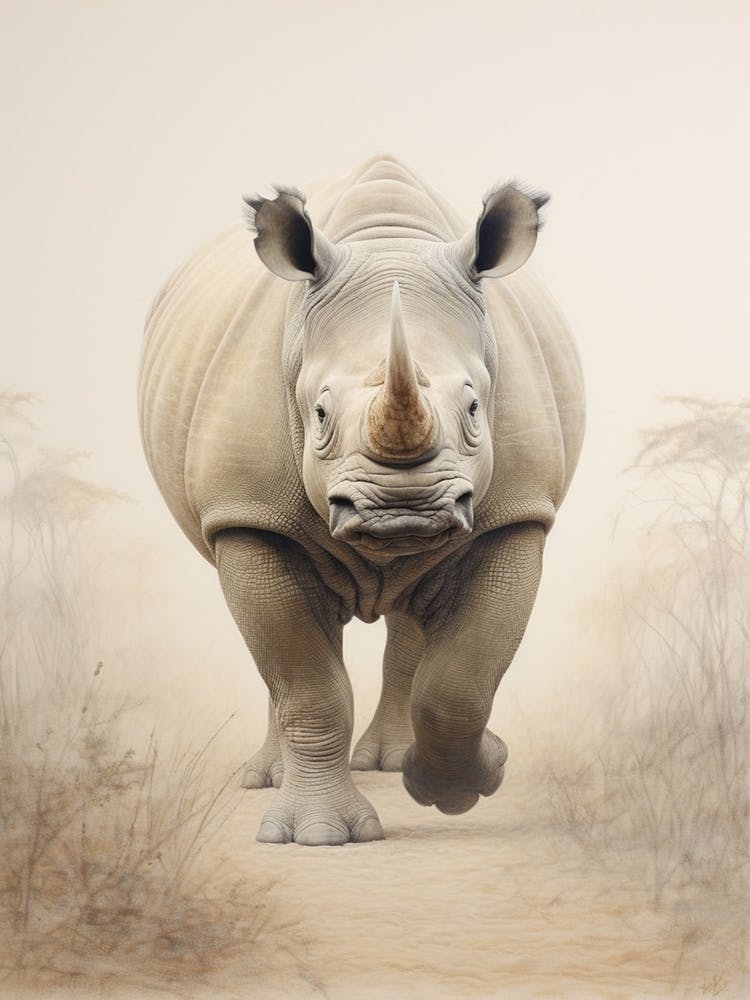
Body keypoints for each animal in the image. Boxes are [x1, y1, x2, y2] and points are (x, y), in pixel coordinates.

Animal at [139, 154, 585, 846]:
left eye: (475, 408)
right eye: (319, 413)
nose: (403, 508)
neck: (389, 244)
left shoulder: (516, 514)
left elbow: (462, 680)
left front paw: (464, 783)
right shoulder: (246, 513)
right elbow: (304, 680)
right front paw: (318, 837)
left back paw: (394, 765)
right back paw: (269, 778)